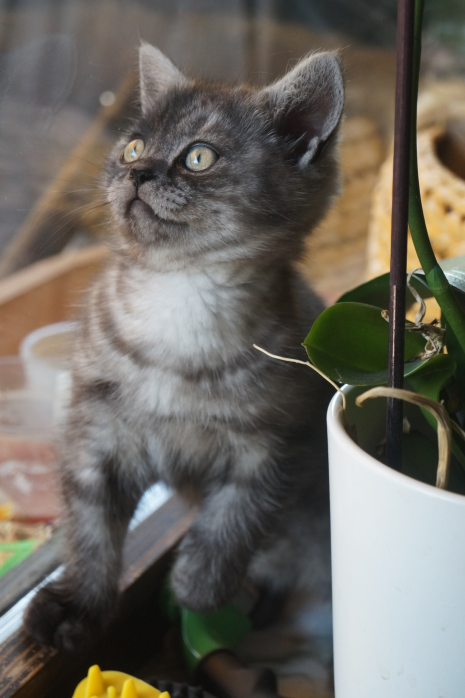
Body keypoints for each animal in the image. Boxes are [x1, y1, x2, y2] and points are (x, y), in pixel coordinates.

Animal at [23, 42, 344, 651]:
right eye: (132, 146)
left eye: (199, 157)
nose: (138, 171)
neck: (180, 295)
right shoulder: (97, 432)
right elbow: (91, 529)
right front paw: (79, 605)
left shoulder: (277, 446)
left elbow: (232, 522)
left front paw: (196, 584)